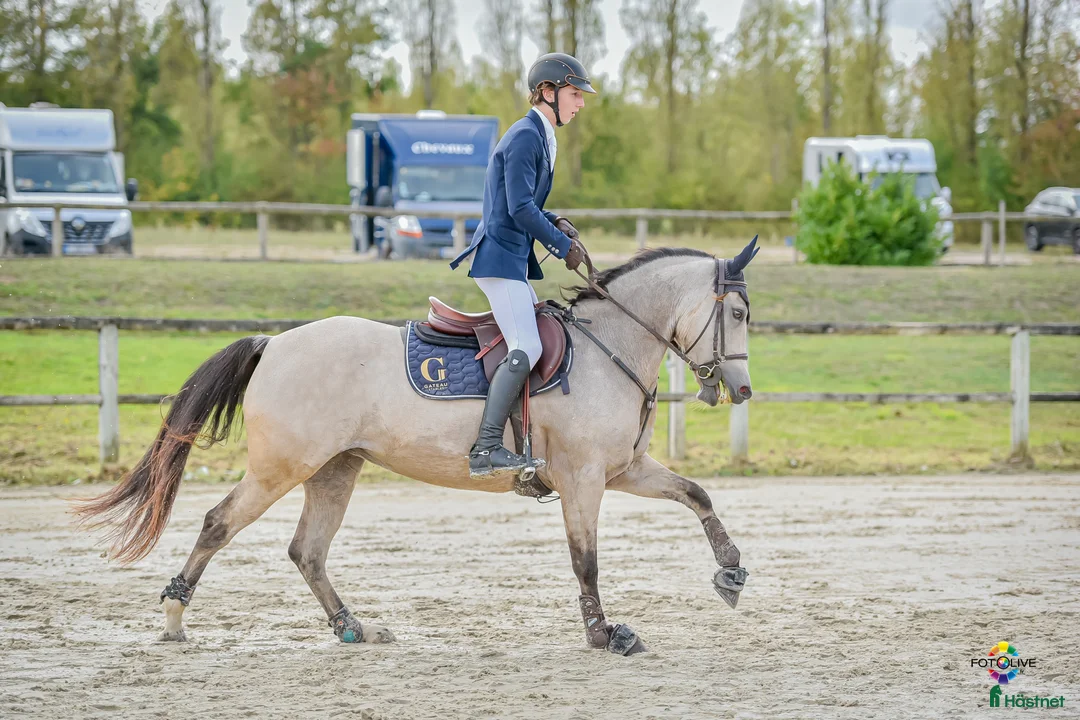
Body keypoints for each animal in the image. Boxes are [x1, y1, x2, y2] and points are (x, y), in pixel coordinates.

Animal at [75, 239, 759, 656]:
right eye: (739, 314)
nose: (743, 389)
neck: (608, 346)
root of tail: (274, 343)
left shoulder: (625, 469)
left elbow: (696, 494)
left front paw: (730, 572)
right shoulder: (584, 478)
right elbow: (585, 561)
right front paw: (604, 634)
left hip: (334, 469)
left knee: (307, 551)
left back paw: (353, 628)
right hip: (280, 467)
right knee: (219, 524)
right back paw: (173, 619)